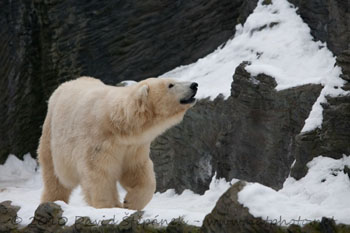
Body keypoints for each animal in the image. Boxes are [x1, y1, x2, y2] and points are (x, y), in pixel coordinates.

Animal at [38, 76, 198, 209]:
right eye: (171, 85)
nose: (194, 85)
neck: (117, 123)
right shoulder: (98, 141)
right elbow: (98, 173)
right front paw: (109, 206)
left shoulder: (133, 146)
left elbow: (138, 171)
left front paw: (129, 203)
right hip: (51, 137)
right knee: (54, 177)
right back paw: (52, 201)